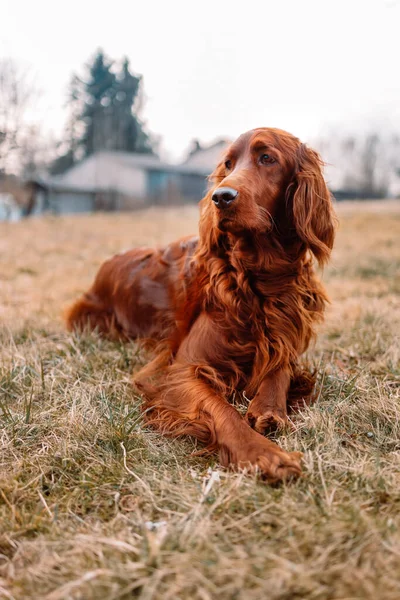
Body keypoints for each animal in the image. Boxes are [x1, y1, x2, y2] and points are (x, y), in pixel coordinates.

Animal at [67, 127, 336, 482]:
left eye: (267, 158)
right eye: (228, 164)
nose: (220, 197)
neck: (259, 277)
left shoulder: (286, 336)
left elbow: (280, 368)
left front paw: (269, 409)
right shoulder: (180, 372)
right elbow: (222, 410)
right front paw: (264, 454)